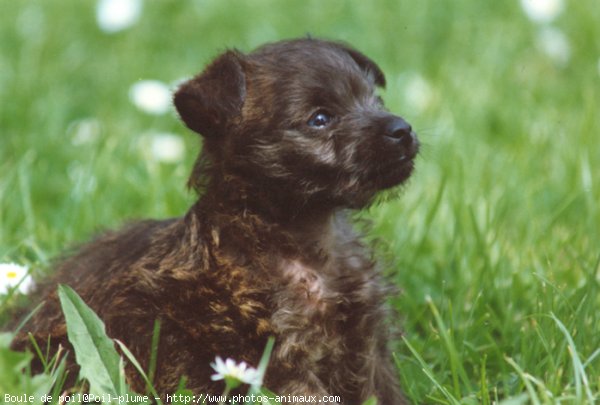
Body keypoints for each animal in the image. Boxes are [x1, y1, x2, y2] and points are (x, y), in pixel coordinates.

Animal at [12, 38, 418, 404]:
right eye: (320, 119)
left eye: (376, 101)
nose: (402, 129)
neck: (304, 235)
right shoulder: (280, 355)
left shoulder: (367, 342)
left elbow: (384, 392)